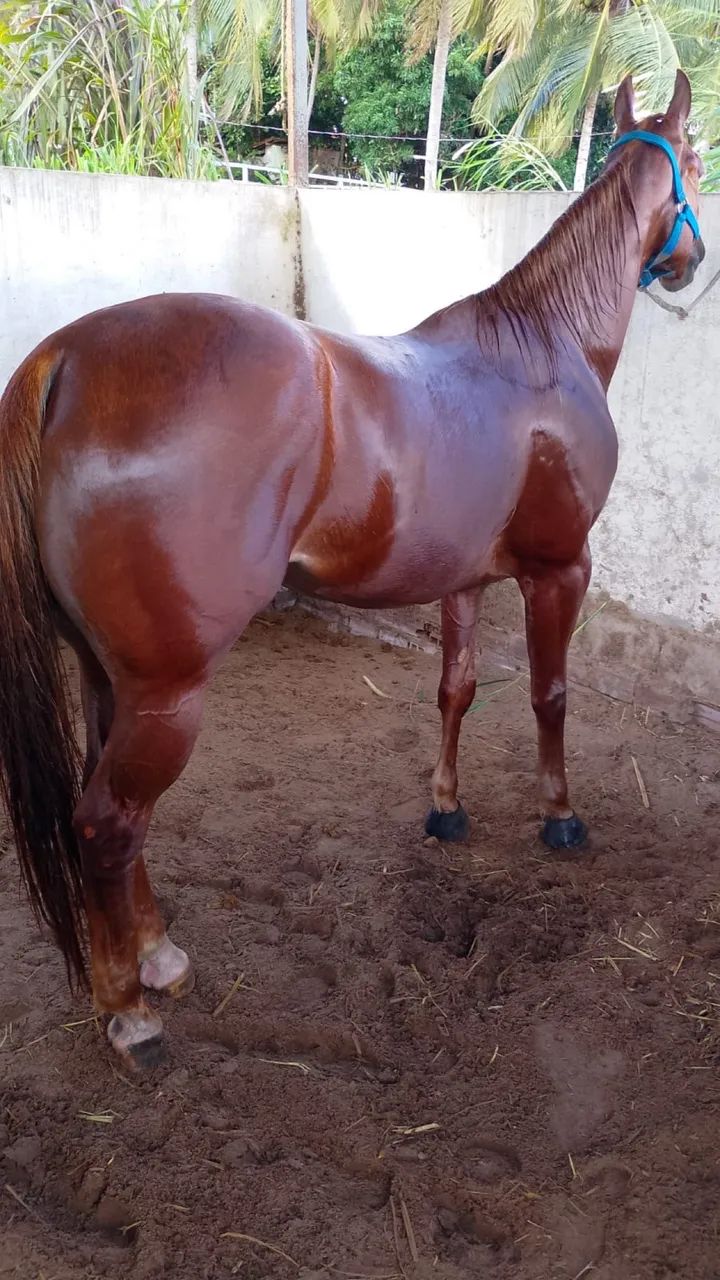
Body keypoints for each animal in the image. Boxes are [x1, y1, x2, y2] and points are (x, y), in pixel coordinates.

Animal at [0, 72, 705, 1068]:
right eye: (699, 162)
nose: (691, 261)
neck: (544, 346)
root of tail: (65, 359)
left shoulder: (463, 580)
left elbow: (455, 690)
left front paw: (447, 809)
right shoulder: (561, 569)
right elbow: (550, 696)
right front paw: (560, 816)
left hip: (113, 680)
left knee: (115, 816)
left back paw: (159, 958)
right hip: (169, 692)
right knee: (107, 824)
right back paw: (131, 1013)